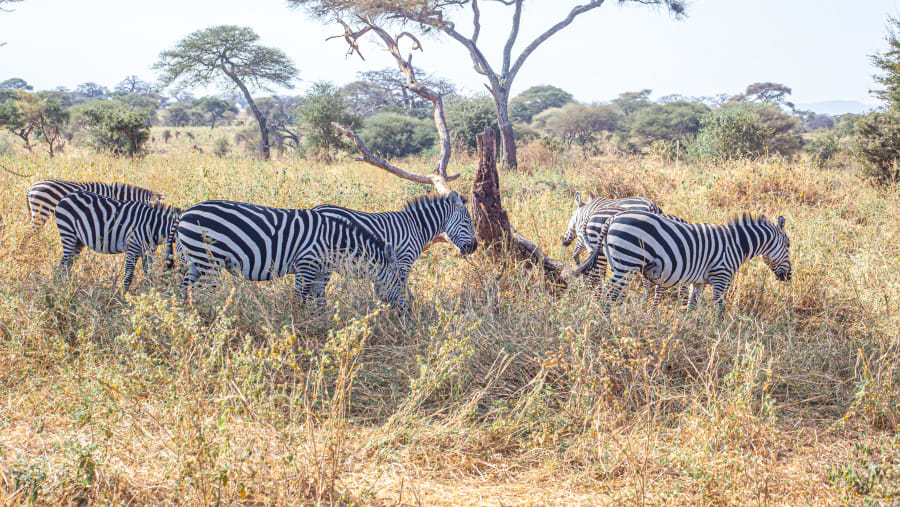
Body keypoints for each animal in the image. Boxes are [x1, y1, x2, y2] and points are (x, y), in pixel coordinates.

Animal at [173, 200, 408, 309]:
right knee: (202, 293)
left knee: (185, 290)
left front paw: (321, 323)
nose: (408, 310)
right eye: (399, 281)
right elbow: (300, 299)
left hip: (195, 261)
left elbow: (318, 299)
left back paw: (189, 318)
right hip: (209, 259)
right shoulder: (306, 264)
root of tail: (185, 213)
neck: (334, 243)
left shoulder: (320, 271)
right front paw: (297, 326)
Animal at [311, 191, 478, 286]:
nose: (474, 247)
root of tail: (315, 208)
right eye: (467, 222)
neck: (417, 226)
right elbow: (402, 286)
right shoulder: (405, 260)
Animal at [575, 210, 791, 312]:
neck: (737, 244)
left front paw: (689, 327)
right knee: (609, 295)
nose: (788, 277)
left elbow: (691, 305)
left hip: (617, 263)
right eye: (788, 245)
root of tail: (612, 218)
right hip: (627, 262)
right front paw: (719, 331)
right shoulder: (721, 276)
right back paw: (609, 321)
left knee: (611, 293)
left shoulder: (699, 281)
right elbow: (720, 307)